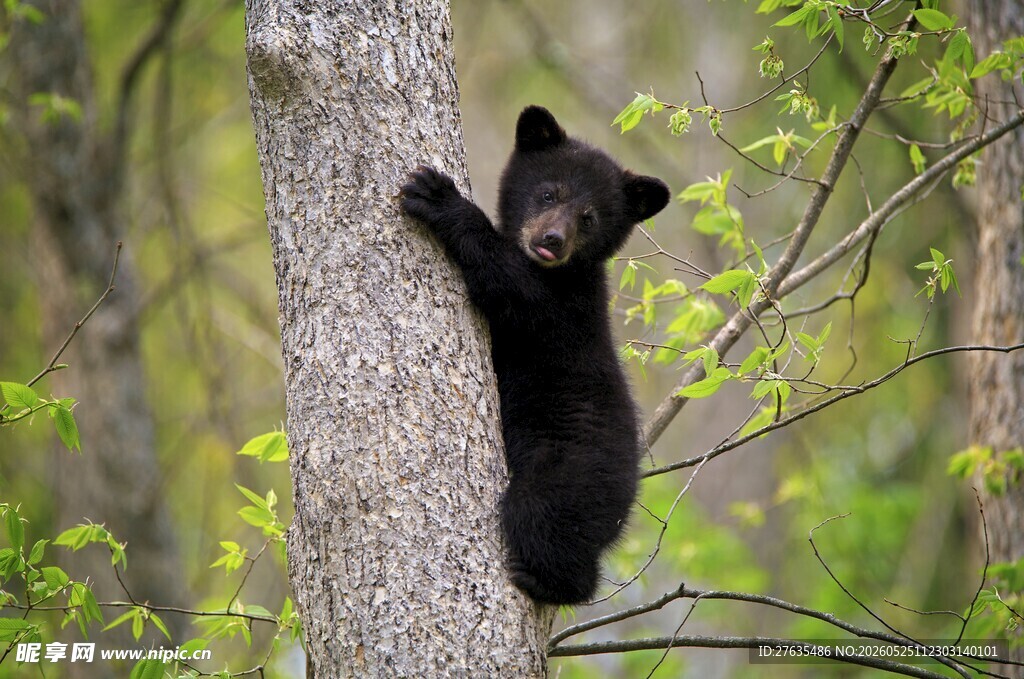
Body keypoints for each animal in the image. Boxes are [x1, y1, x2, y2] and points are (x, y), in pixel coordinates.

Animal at [399, 105, 670, 605]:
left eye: (589, 217)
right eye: (547, 192)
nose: (553, 239)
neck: (562, 272)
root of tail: (624, 506)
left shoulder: (561, 311)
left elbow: (509, 284)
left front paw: (439, 197)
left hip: (566, 475)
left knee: (540, 519)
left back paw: (545, 581)